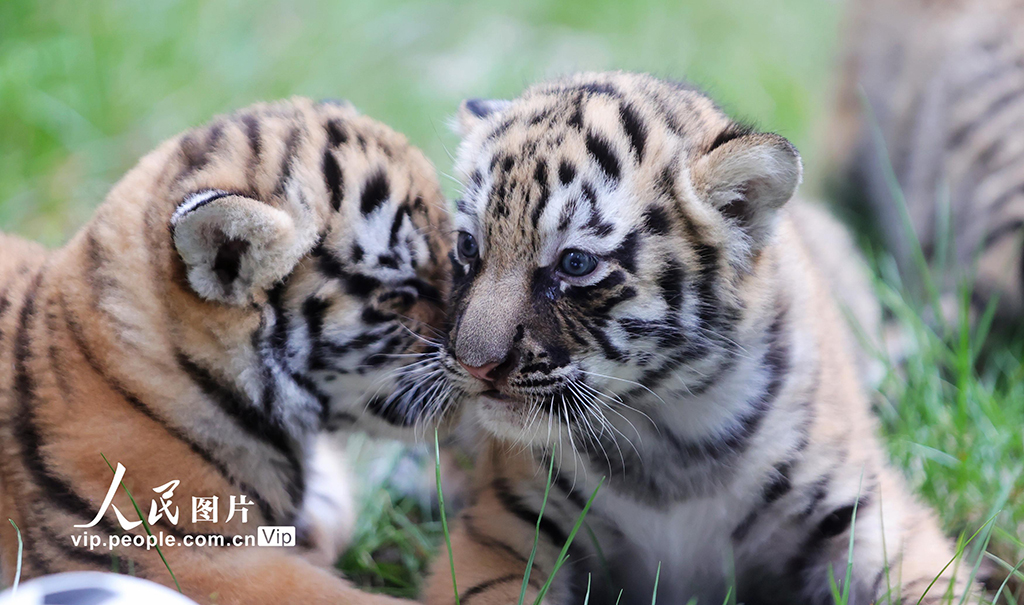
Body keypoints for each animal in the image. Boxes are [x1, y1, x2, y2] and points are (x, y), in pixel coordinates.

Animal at [419, 72, 974, 605]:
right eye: (468, 246)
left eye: (575, 263)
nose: (475, 365)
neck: (670, 432)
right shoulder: (502, 525)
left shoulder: (864, 511)